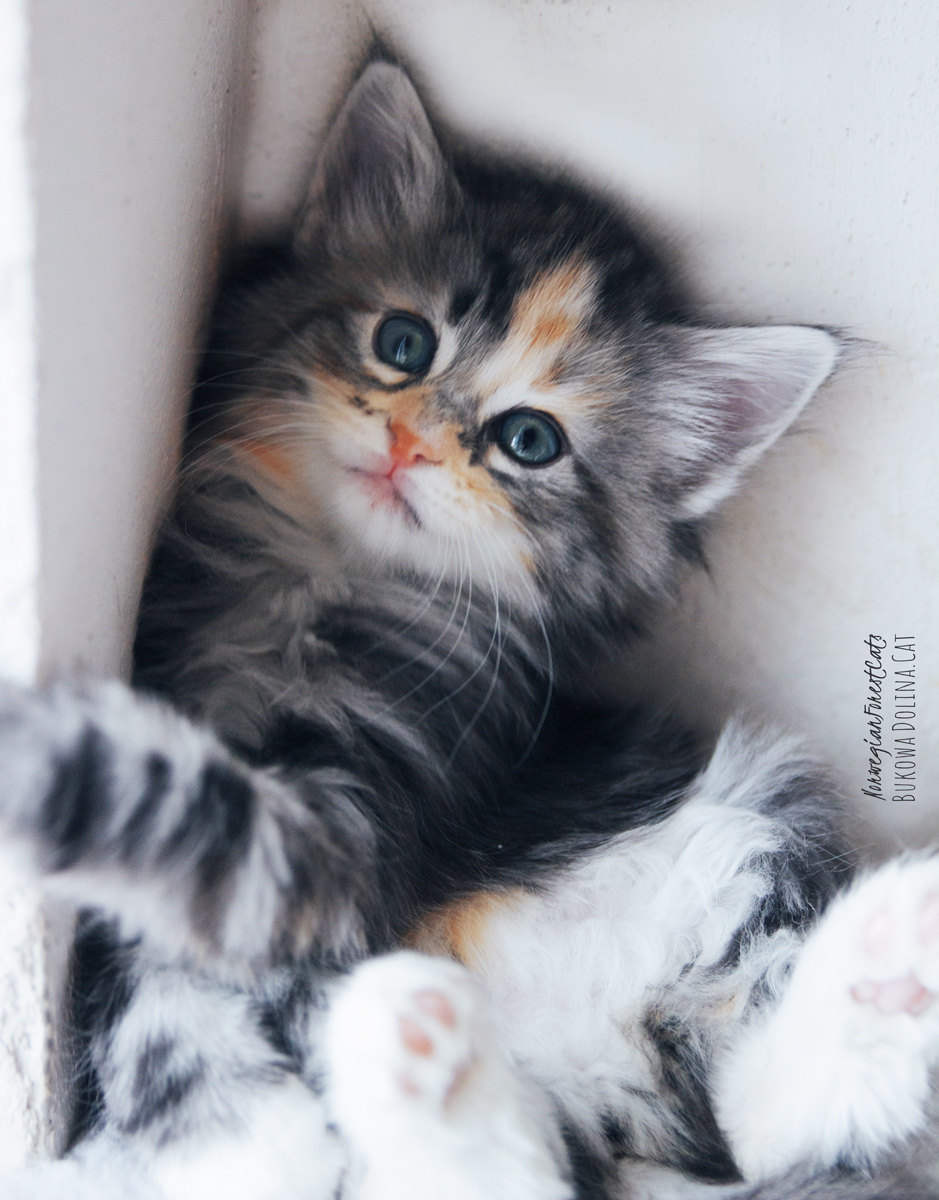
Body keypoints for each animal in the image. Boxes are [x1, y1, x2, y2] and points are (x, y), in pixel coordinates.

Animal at [1, 57, 939, 1200]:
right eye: (402, 344)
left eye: (528, 441)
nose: (412, 442)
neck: (320, 586)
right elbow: (147, 979)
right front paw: (244, 1143)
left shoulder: (359, 829)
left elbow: (171, 812)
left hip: (755, 812)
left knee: (740, 1129)